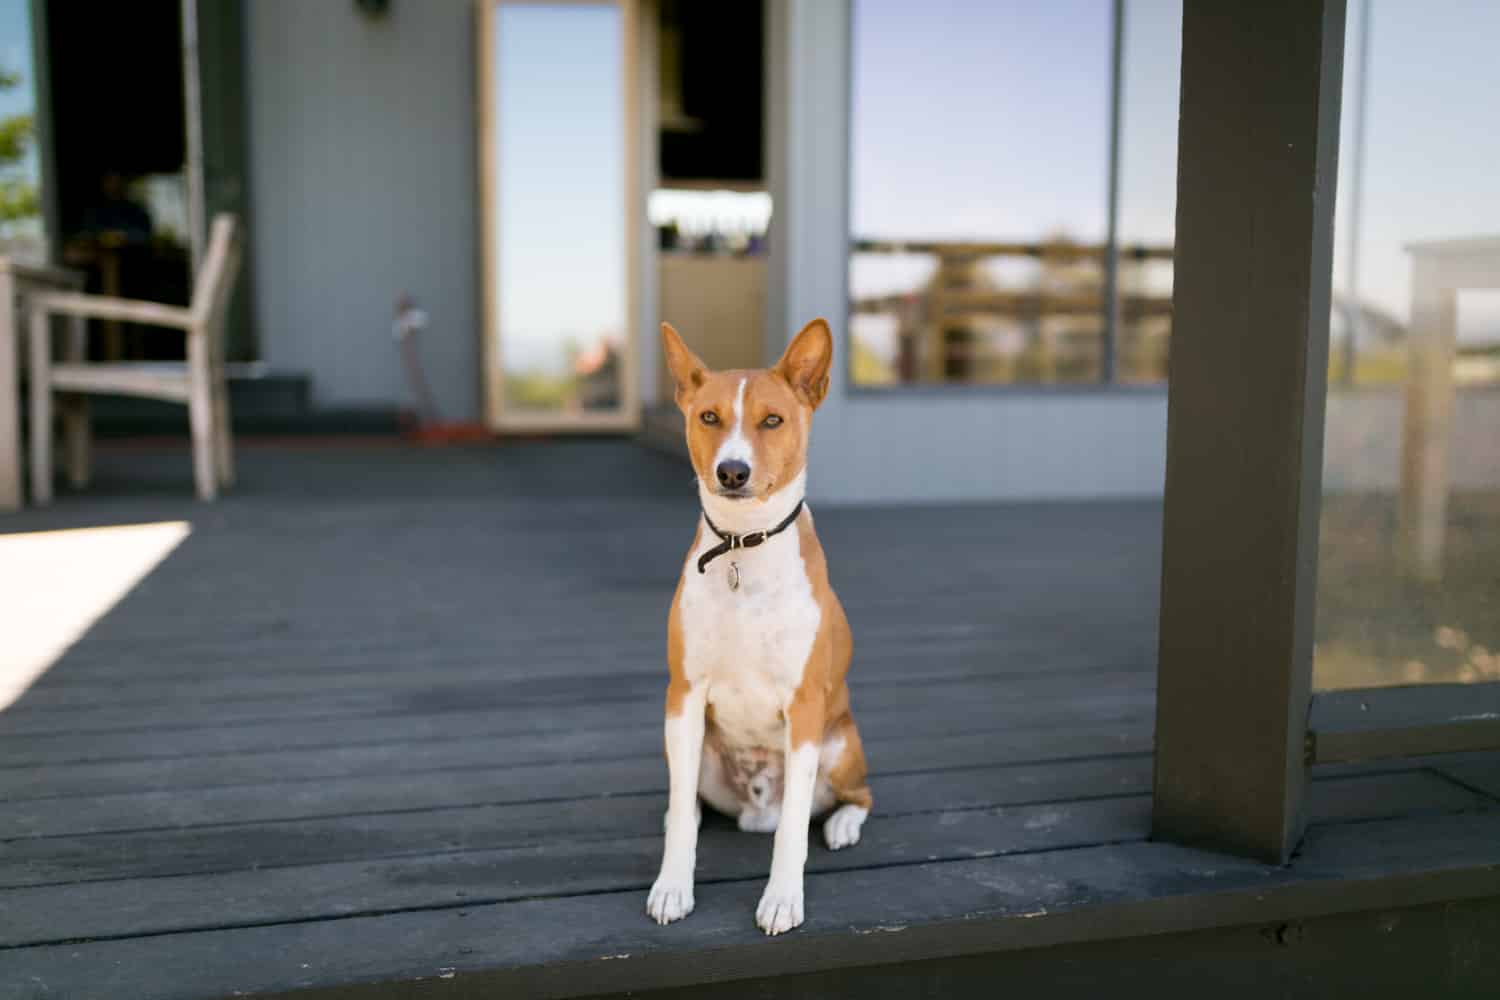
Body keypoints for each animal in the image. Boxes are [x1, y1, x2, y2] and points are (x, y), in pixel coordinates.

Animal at [645, 316, 870, 935]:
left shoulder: (805, 707)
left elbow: (793, 828)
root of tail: (755, 806)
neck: (743, 548)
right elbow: (682, 817)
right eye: (708, 417)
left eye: (772, 419)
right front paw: (672, 886)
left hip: (840, 744)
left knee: (855, 796)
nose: (732, 470)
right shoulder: (684, 696)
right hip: (691, 748)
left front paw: (782, 899)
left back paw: (842, 824)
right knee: (688, 803)